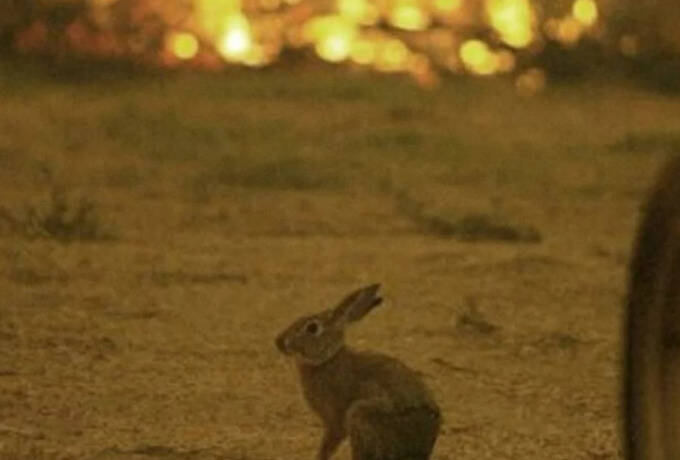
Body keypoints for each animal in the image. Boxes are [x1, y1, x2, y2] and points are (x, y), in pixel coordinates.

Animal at [276, 284, 440, 460]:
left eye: (312, 328)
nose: (279, 342)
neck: (328, 359)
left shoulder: (335, 420)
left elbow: (329, 444)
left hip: (361, 414)